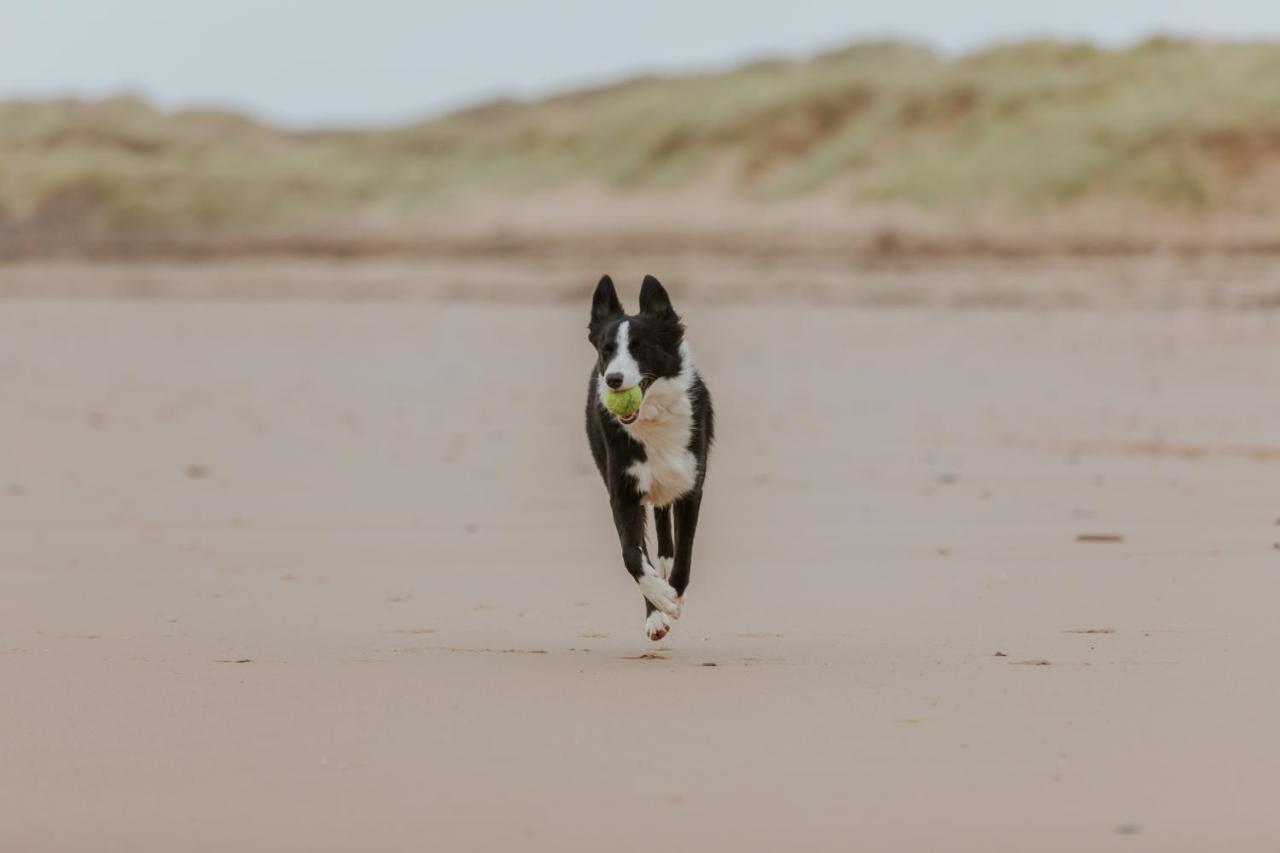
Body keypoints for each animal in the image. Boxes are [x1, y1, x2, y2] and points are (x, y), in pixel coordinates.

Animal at [586, 272, 716, 637]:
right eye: (607, 350)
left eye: (639, 348)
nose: (614, 379)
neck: (652, 417)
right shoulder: (623, 494)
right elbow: (632, 556)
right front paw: (659, 603)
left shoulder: (691, 488)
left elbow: (684, 556)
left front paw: (675, 596)